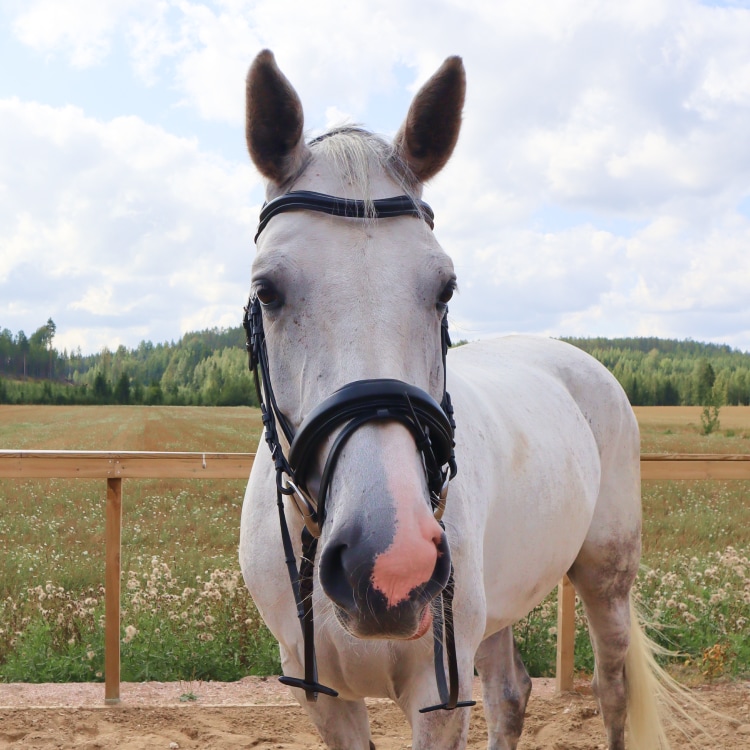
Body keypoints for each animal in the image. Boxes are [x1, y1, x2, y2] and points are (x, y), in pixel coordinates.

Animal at [242, 50, 680, 748]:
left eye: (444, 287)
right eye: (269, 289)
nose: (390, 564)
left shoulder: (438, 694)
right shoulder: (324, 697)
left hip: (606, 578)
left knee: (611, 691)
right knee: (510, 694)